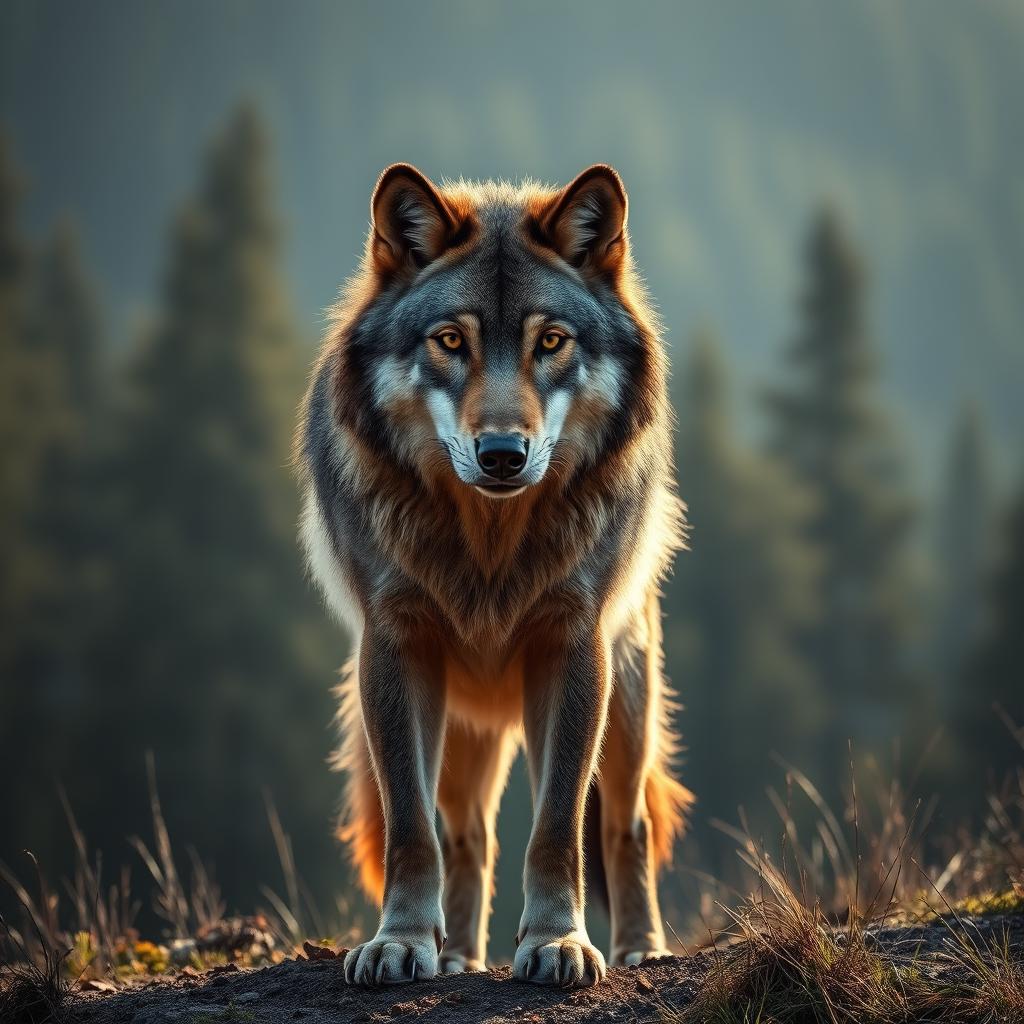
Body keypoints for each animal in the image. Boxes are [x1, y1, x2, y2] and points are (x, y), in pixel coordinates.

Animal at [297, 163, 692, 988]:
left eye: (552, 342)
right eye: (451, 341)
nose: (504, 454)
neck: (489, 544)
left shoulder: (572, 649)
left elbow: (559, 827)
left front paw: (558, 943)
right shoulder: (396, 647)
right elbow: (413, 831)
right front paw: (401, 943)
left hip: (628, 695)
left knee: (627, 822)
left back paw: (643, 947)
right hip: (462, 729)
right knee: (466, 836)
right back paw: (455, 959)